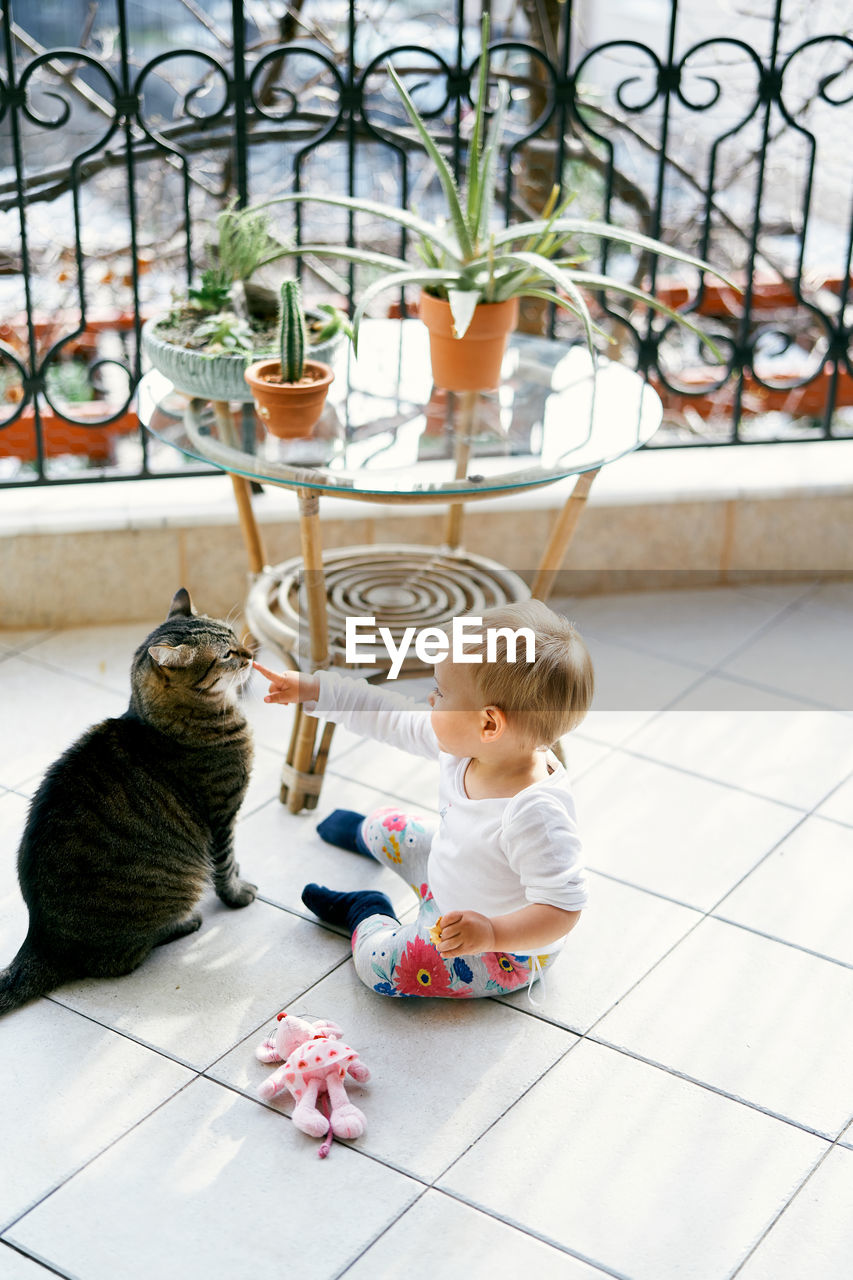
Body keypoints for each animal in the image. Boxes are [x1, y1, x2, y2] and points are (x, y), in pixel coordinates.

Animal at [0, 586, 256, 1013]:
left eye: (235, 636)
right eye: (225, 654)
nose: (251, 653)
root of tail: (42, 939)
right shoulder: (223, 816)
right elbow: (226, 866)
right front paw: (238, 895)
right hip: (171, 890)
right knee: (120, 961)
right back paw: (184, 923)